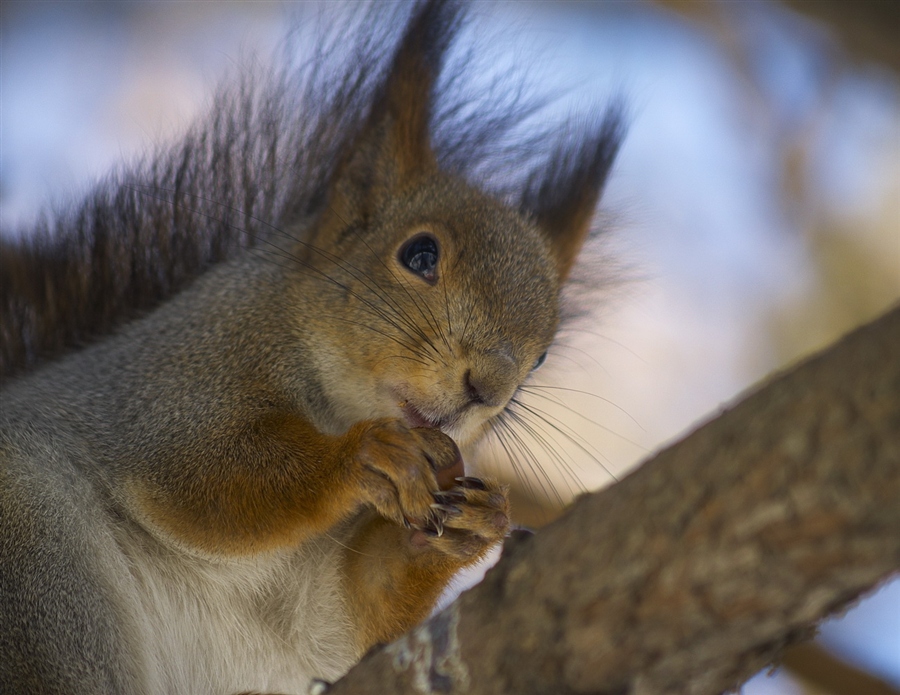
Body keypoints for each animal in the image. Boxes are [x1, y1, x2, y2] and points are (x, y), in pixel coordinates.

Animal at [0, 2, 624, 692]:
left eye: (541, 356)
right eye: (420, 254)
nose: (486, 387)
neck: (335, 400)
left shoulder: (318, 600)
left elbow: (343, 614)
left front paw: (473, 524)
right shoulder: (173, 376)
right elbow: (199, 472)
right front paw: (362, 457)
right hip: (40, 572)